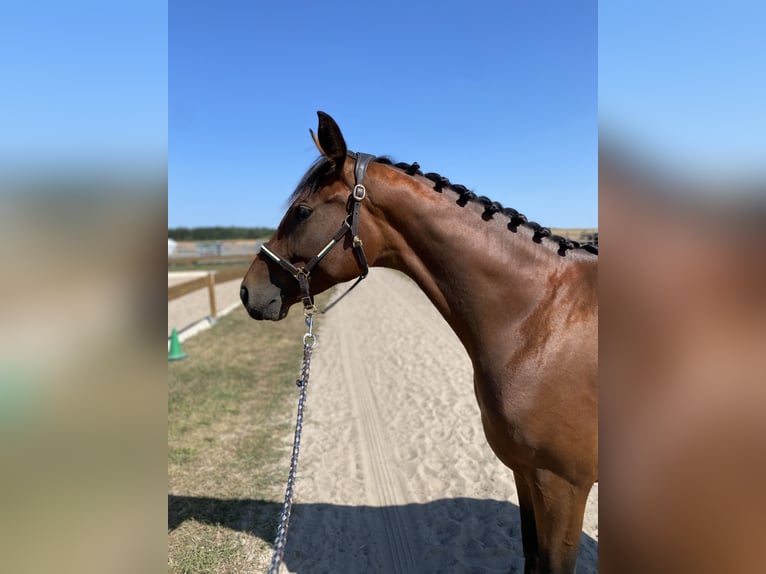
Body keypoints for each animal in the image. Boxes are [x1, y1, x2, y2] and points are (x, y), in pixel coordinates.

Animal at [242, 112, 600, 574]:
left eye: (301, 211)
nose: (247, 291)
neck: (540, 318)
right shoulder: (526, 476)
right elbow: (531, 554)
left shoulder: (562, 488)